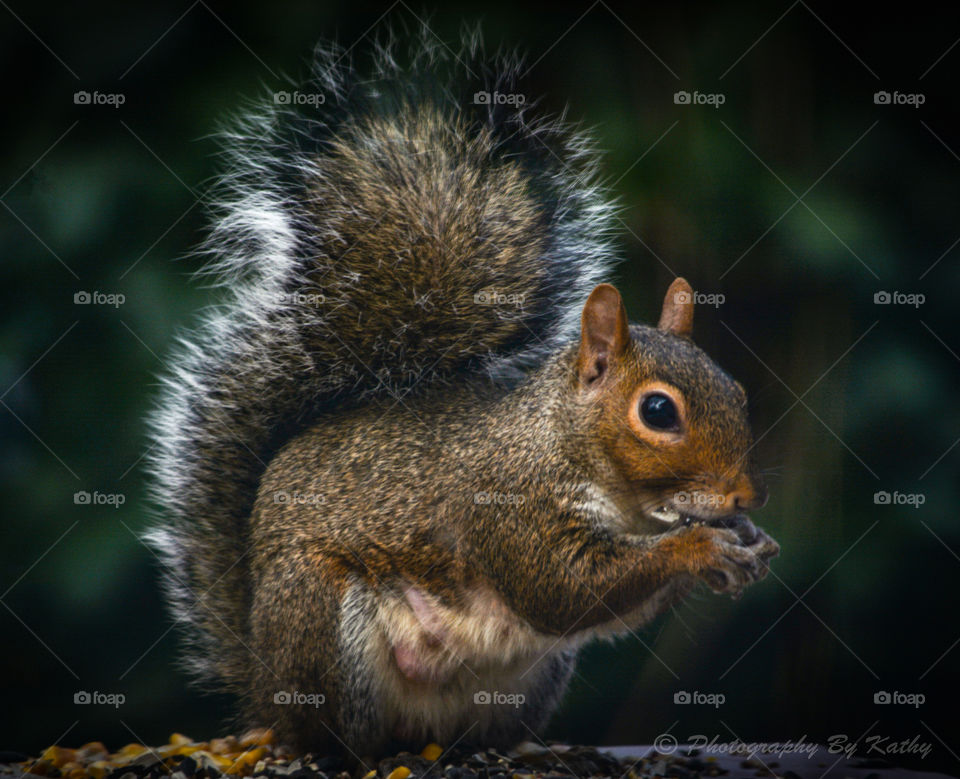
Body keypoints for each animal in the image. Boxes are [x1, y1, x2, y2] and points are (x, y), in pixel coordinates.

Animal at [145, 32, 779, 760]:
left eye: (735, 388)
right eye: (657, 411)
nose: (745, 497)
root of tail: (260, 683)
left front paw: (747, 543)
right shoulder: (507, 507)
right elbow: (563, 592)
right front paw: (701, 549)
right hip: (320, 615)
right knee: (334, 732)